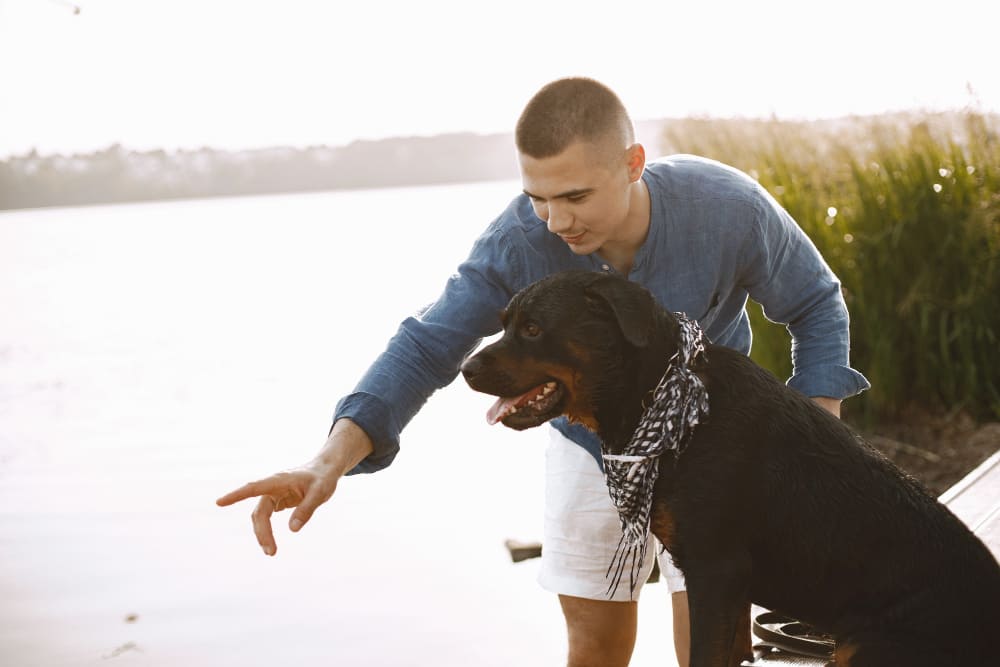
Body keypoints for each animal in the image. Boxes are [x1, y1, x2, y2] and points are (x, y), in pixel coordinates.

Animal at [460, 272, 1000, 667]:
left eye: (533, 329)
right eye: (505, 322)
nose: (466, 369)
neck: (663, 396)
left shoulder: (716, 570)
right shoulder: (730, 590)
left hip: (865, 645)